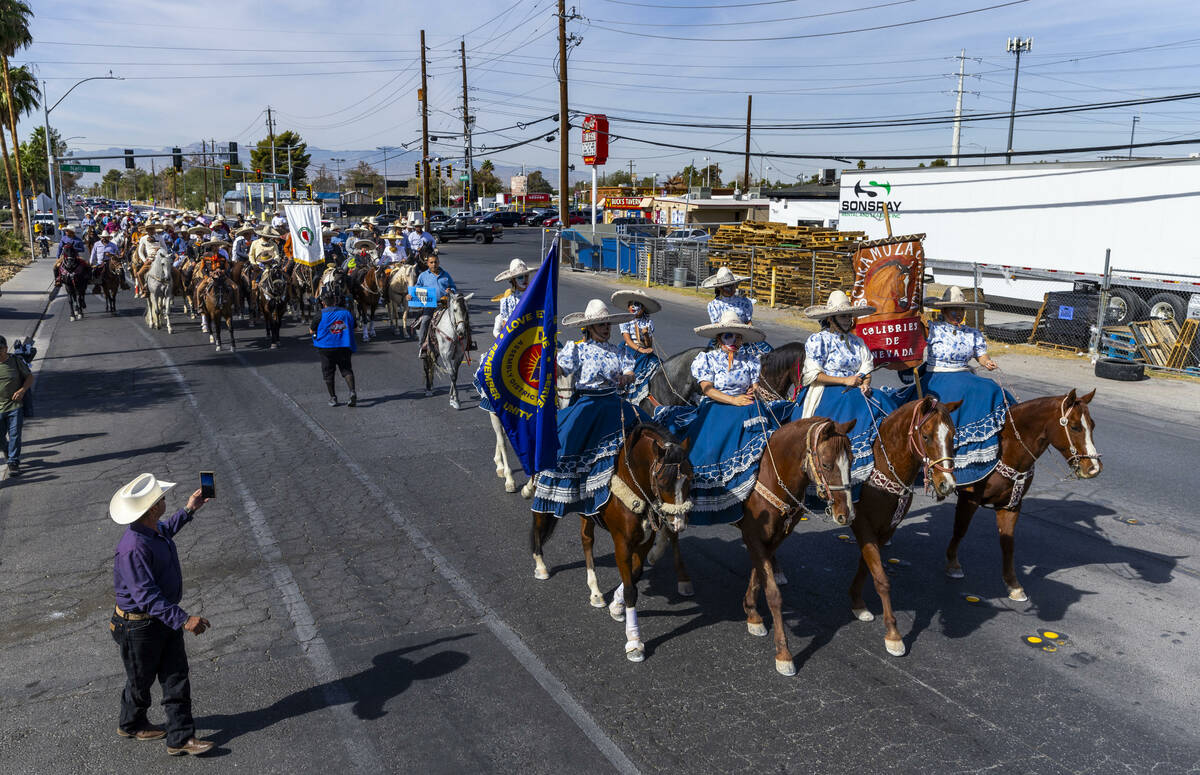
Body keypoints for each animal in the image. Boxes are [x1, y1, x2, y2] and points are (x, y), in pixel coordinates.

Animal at [532, 424, 700, 662]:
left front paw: (616, 606)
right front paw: (634, 642)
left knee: (586, 539)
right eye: (663, 482)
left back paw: (595, 592)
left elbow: (636, 575)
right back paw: (541, 566)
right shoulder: (622, 543)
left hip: (587, 512)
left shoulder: (645, 540)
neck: (632, 482)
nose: (678, 523)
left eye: (691, 477)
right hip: (544, 497)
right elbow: (631, 589)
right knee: (539, 525)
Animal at [734, 415, 859, 676]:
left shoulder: (774, 538)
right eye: (827, 464)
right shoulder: (753, 536)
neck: (771, 475)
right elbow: (773, 593)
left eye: (852, 461)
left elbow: (758, 576)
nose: (847, 514)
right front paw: (784, 654)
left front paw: (752, 613)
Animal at [849, 398, 960, 657]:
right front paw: (893, 634)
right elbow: (881, 578)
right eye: (926, 436)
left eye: (953, 436)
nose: (947, 484)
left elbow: (867, 566)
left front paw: (858, 603)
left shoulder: (886, 528)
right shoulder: (863, 524)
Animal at [940, 388, 1099, 602]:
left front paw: (1013, 585)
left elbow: (1008, 543)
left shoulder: (1011, 505)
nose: (1094, 468)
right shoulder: (969, 499)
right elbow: (960, 529)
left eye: (1093, 425)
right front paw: (953, 564)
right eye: (1074, 427)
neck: (1006, 446)